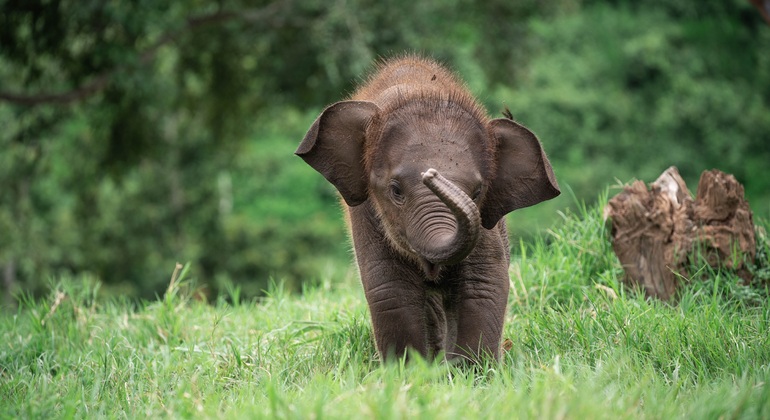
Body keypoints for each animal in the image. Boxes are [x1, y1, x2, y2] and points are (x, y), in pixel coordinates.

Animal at [296, 55, 559, 363]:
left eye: (477, 192)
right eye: (396, 190)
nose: (431, 174)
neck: (419, 90)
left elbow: (483, 283)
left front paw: (472, 371)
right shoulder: (365, 213)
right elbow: (391, 288)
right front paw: (410, 370)